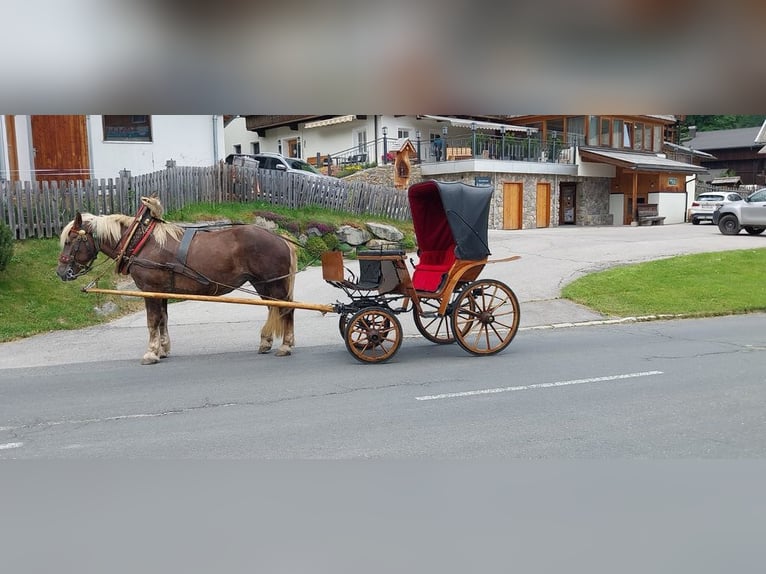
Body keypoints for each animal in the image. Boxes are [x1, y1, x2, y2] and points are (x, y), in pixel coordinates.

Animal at [56, 200, 296, 366]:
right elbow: (163, 319)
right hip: (263, 284)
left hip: (272, 283)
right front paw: (162, 350)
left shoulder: (150, 290)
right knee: (276, 308)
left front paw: (151, 353)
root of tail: (281, 239)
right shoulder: (160, 291)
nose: (61, 272)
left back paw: (285, 345)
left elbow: (152, 321)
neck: (142, 242)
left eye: (70, 241)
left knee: (287, 310)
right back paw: (267, 342)